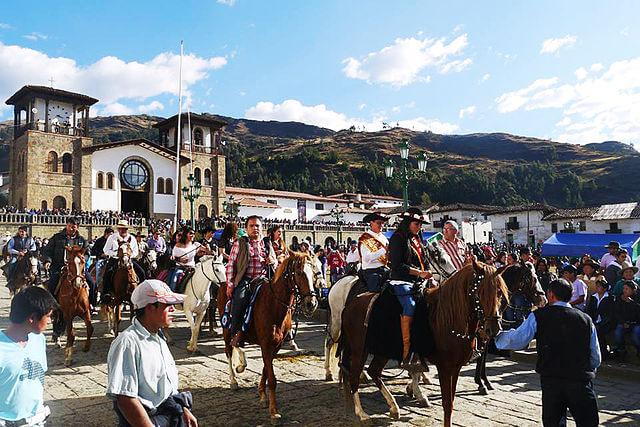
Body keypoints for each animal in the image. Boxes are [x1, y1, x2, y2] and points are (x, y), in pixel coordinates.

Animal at [218, 252, 318, 422]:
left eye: (314, 273)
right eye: (299, 273)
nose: (311, 303)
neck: (274, 304)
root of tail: (225, 284)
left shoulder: (275, 345)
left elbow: (266, 368)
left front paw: (263, 396)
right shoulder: (265, 344)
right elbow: (271, 379)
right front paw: (273, 411)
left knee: (237, 344)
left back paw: (241, 364)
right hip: (227, 329)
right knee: (229, 350)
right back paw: (234, 379)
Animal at [338, 262, 508, 426]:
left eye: (499, 292)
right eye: (481, 291)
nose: (493, 328)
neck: (448, 317)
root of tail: (351, 303)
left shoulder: (456, 367)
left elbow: (450, 402)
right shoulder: (444, 367)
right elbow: (447, 404)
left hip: (382, 350)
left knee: (373, 371)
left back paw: (393, 407)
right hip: (359, 349)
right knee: (353, 376)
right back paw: (362, 414)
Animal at [472, 262, 548, 396]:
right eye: (531, 278)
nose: (543, 300)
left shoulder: (488, 333)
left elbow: (484, 355)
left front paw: (485, 381)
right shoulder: (482, 333)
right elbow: (481, 355)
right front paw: (481, 384)